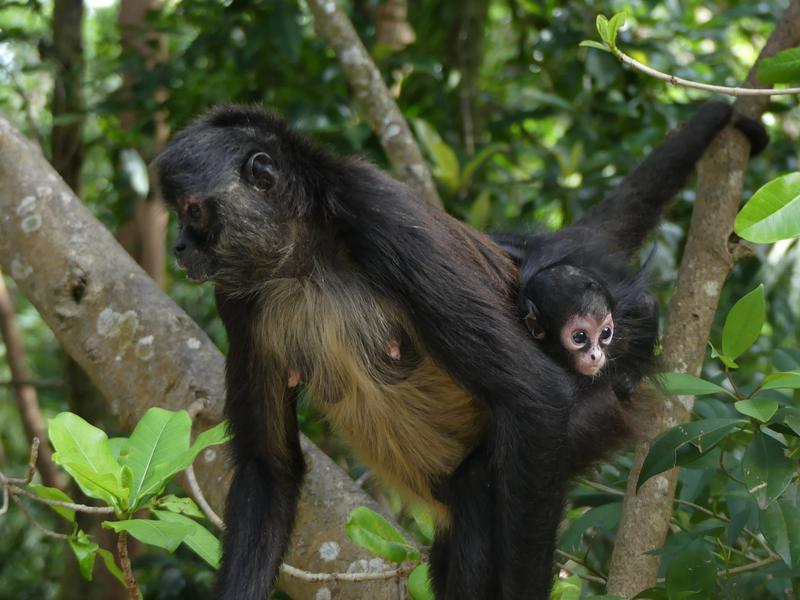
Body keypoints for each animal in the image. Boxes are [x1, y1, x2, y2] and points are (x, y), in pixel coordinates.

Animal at [153, 100, 765, 600]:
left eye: (194, 211)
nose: (179, 246)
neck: (301, 260)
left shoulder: (380, 216)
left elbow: (534, 394)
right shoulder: (238, 295)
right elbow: (269, 467)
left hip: (602, 400)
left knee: (479, 489)